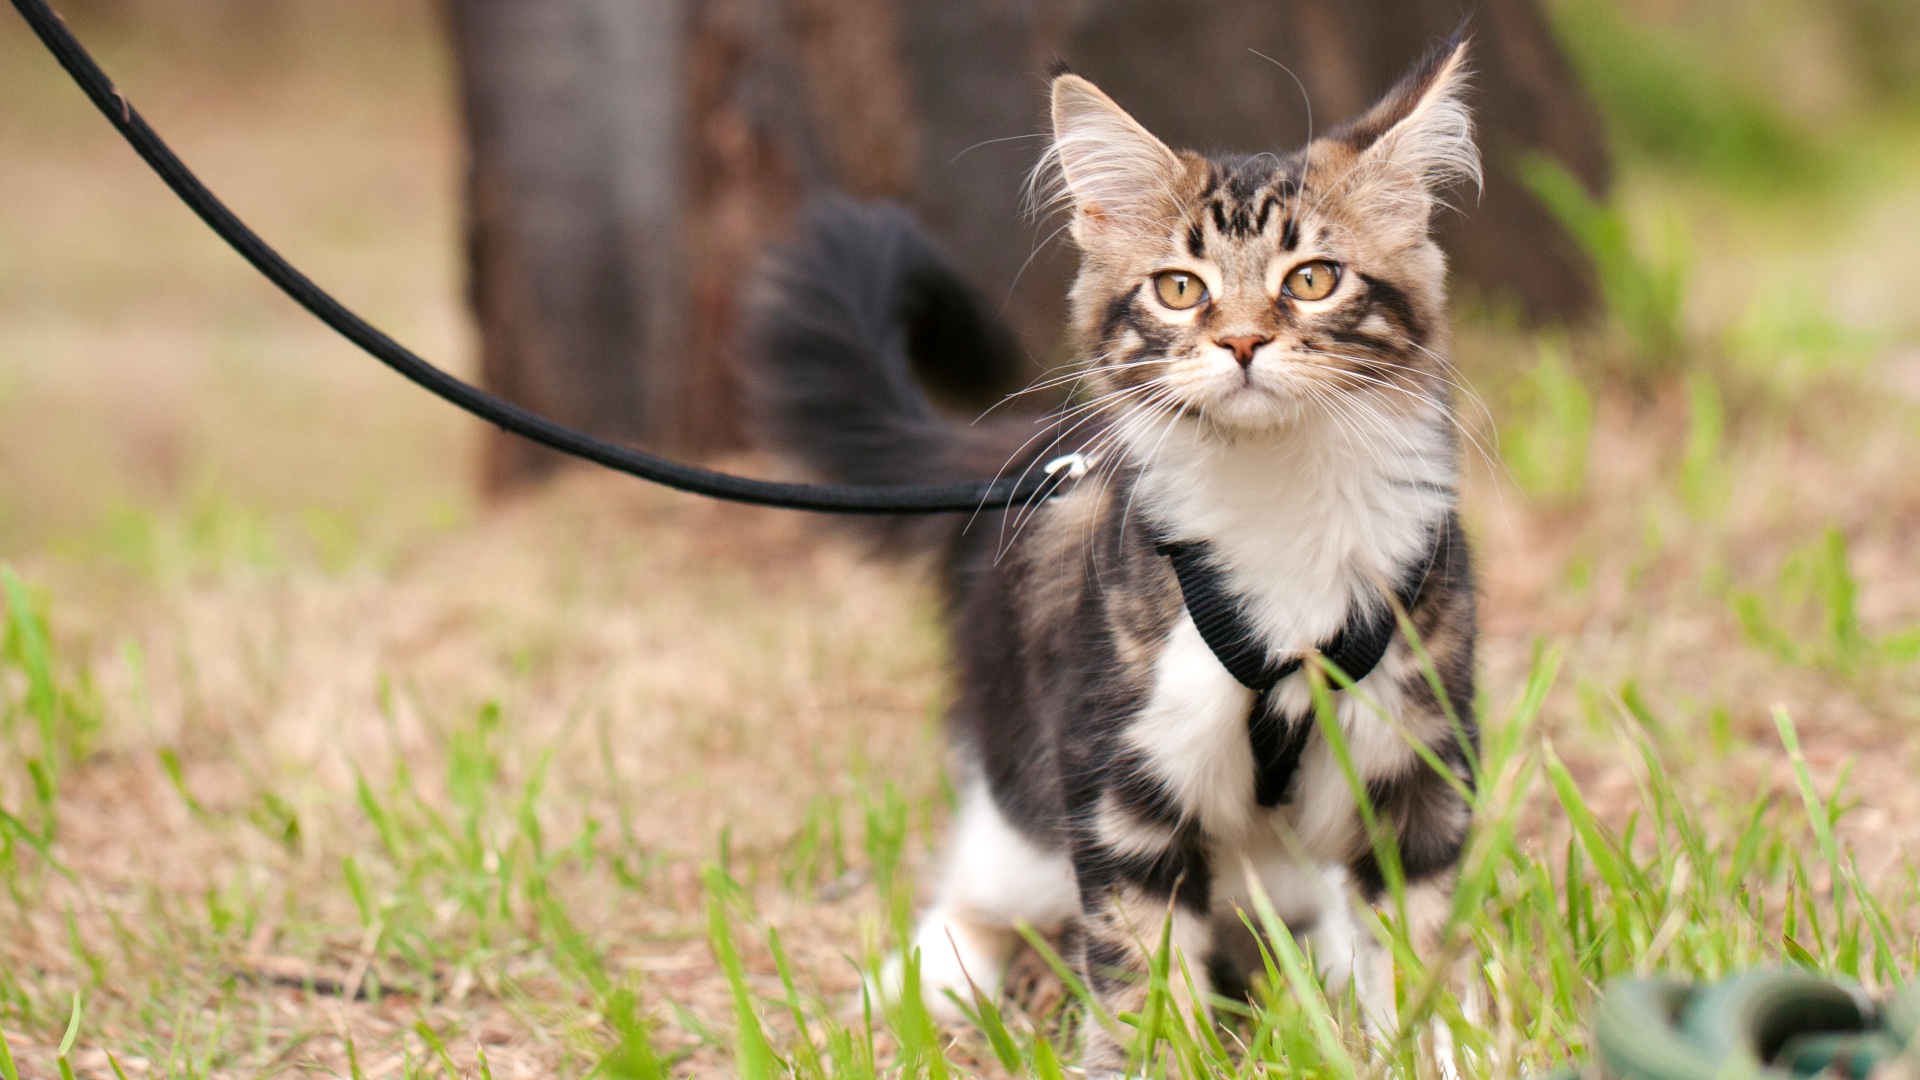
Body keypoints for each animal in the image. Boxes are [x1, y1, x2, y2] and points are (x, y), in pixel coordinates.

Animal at [741, 33, 1474, 1068]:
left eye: (1312, 279)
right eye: (1179, 289)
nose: (1242, 342)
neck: (1276, 494)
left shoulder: (1419, 757)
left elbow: (1416, 950)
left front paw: (1438, 1050)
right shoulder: (1119, 770)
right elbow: (1139, 965)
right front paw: (1154, 1057)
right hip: (1021, 792)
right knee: (982, 887)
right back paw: (926, 985)